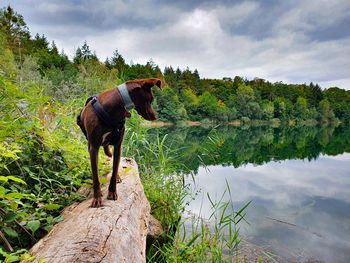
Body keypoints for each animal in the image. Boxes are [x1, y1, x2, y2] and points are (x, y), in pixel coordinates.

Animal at [76, 78, 163, 208]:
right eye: (150, 100)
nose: (155, 117)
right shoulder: (94, 148)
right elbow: (96, 177)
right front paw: (97, 198)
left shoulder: (118, 145)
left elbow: (114, 170)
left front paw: (112, 192)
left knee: (114, 164)